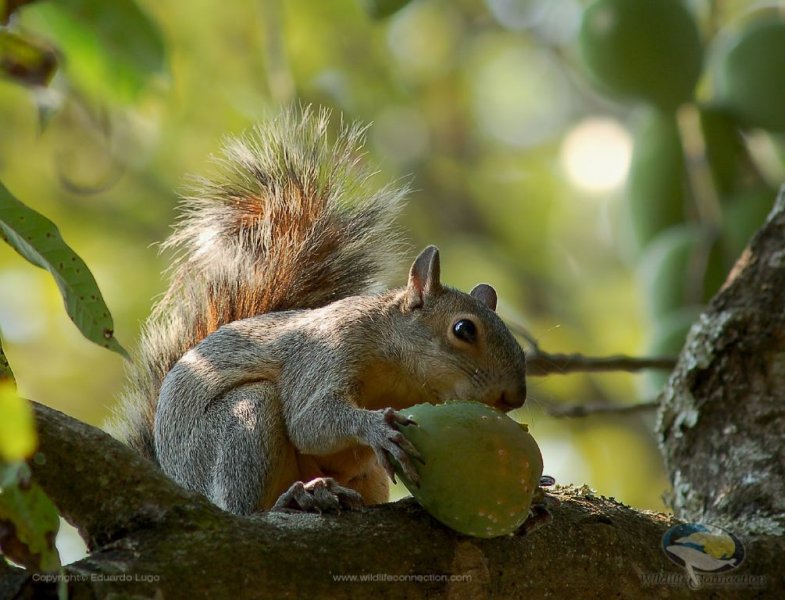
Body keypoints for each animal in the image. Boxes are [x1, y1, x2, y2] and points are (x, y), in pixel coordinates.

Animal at [112, 106, 528, 516]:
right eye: (464, 330)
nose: (514, 398)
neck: (400, 373)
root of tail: (176, 477)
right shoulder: (326, 352)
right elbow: (310, 421)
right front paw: (376, 427)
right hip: (238, 426)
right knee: (243, 502)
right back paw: (295, 498)